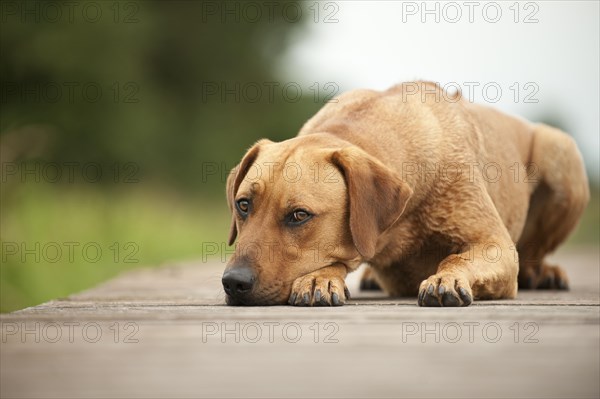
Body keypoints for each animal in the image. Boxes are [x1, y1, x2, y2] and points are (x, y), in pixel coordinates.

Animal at [221, 80, 592, 306]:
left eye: (299, 215)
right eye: (243, 205)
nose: (233, 283)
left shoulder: (495, 245)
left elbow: (461, 256)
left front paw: (447, 278)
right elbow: (338, 258)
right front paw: (320, 278)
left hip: (560, 152)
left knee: (534, 250)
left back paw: (541, 272)